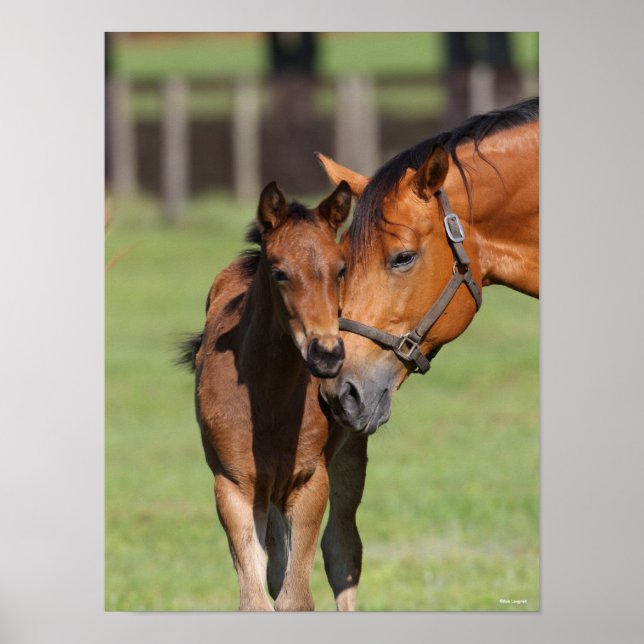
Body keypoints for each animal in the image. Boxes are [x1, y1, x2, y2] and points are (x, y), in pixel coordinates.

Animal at [180, 181, 365, 611]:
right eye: (280, 272)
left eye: (341, 269)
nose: (327, 353)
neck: (271, 402)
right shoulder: (234, 486)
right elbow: (257, 596)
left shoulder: (310, 481)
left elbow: (296, 597)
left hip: (349, 451)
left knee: (343, 552)